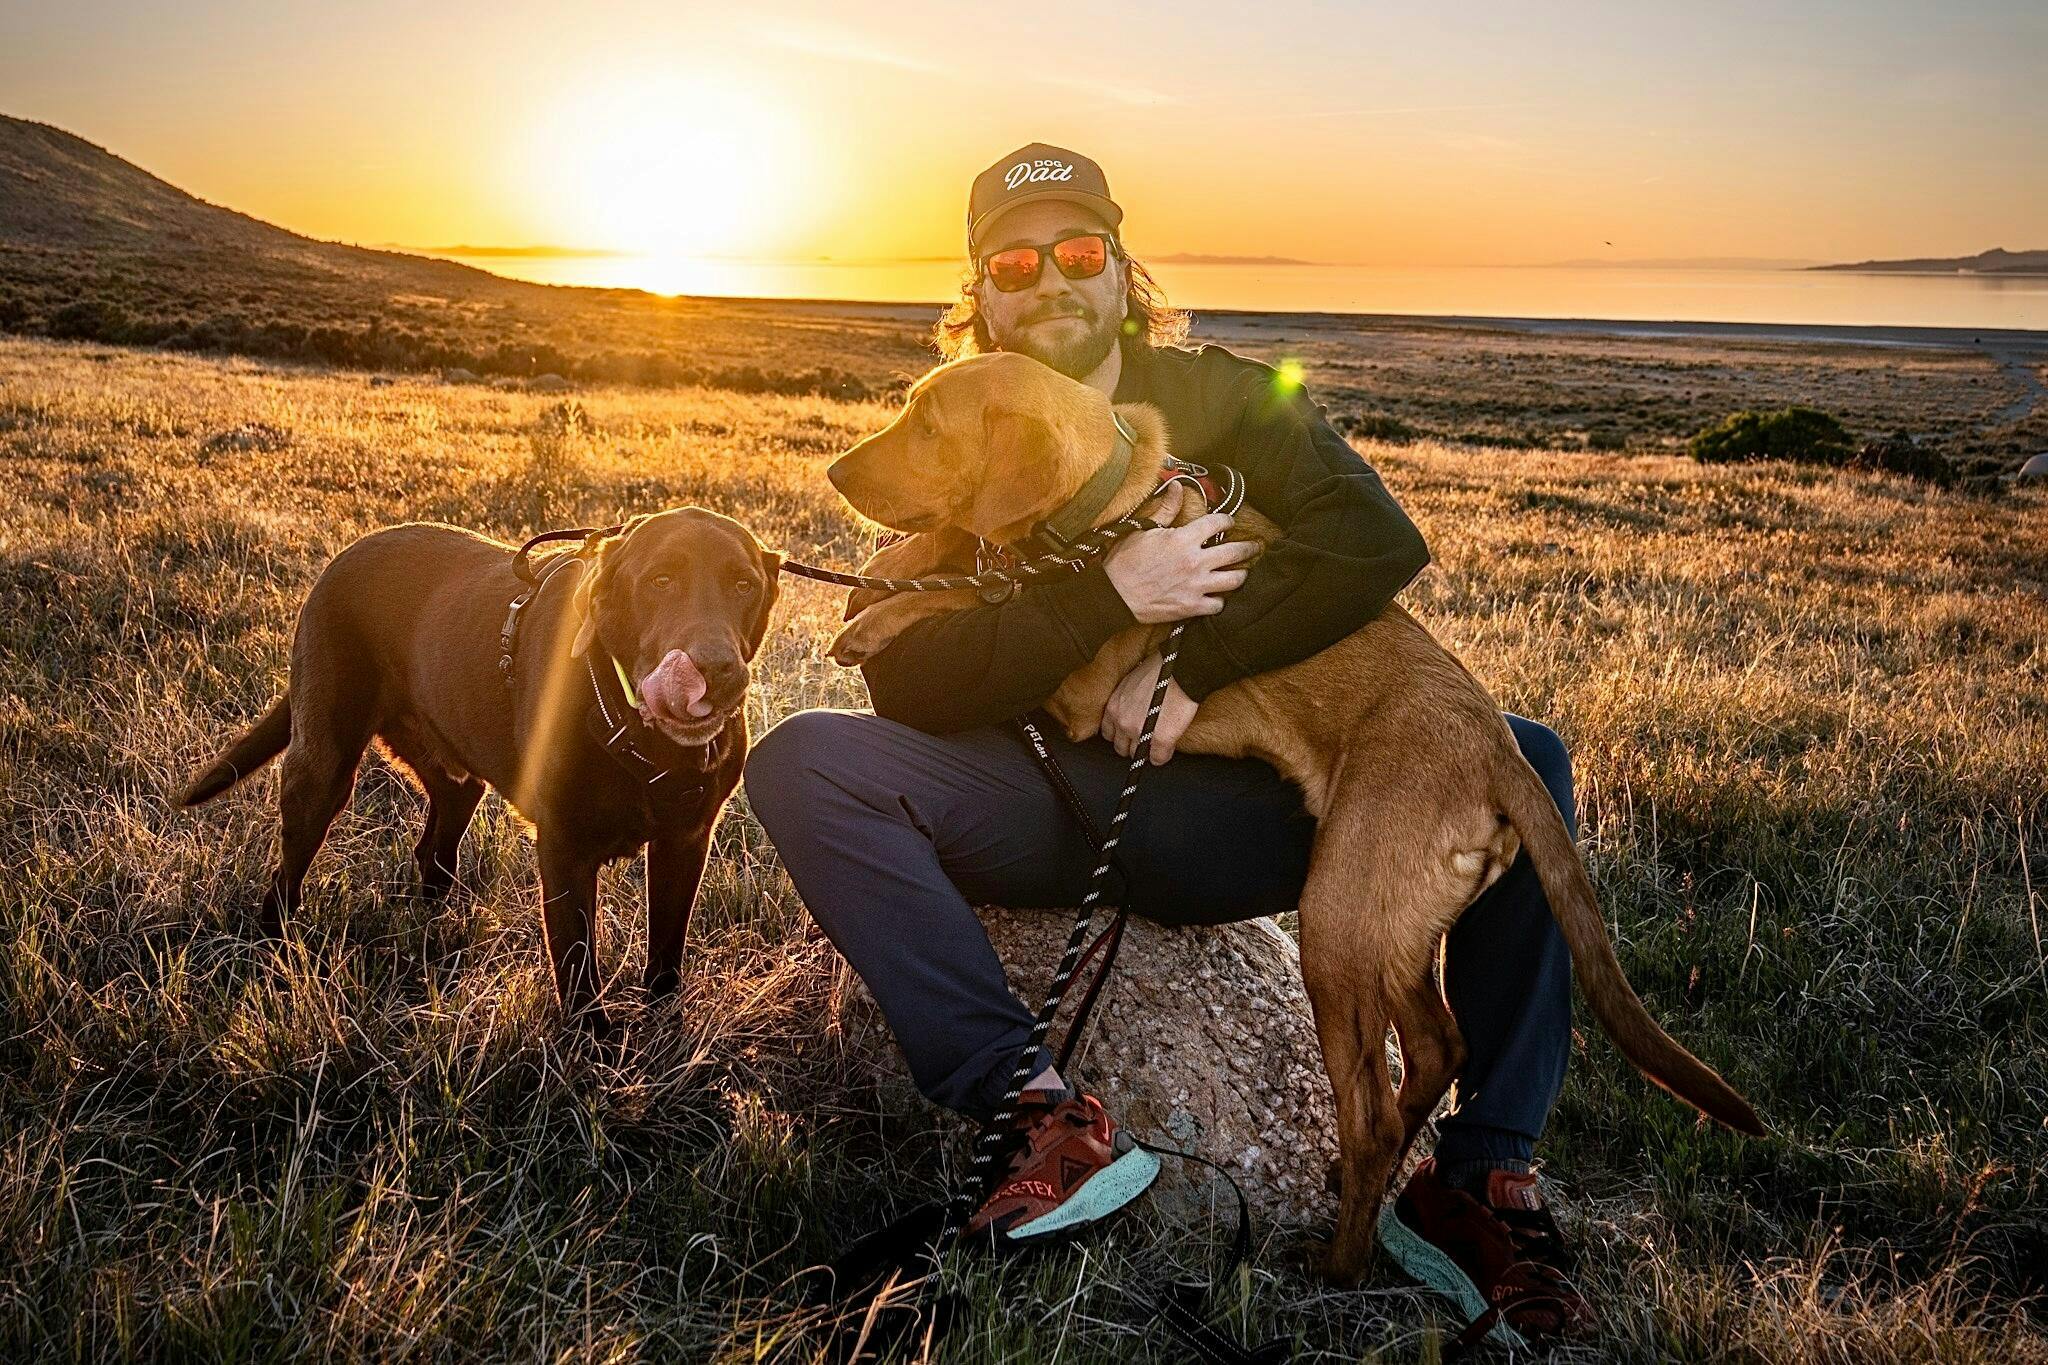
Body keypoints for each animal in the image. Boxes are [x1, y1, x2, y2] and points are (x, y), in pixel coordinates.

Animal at [177, 508, 781, 1034]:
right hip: (321, 766)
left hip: (458, 781)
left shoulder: (685, 840)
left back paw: (427, 929)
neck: (636, 725)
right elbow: (577, 962)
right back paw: (275, 952)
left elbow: (667, 952)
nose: (718, 671)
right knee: (286, 875)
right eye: (660, 581)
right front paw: (592, 1050)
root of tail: (346, 555)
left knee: (432, 852)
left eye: (743, 586)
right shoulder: (565, 848)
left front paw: (664, 1026)